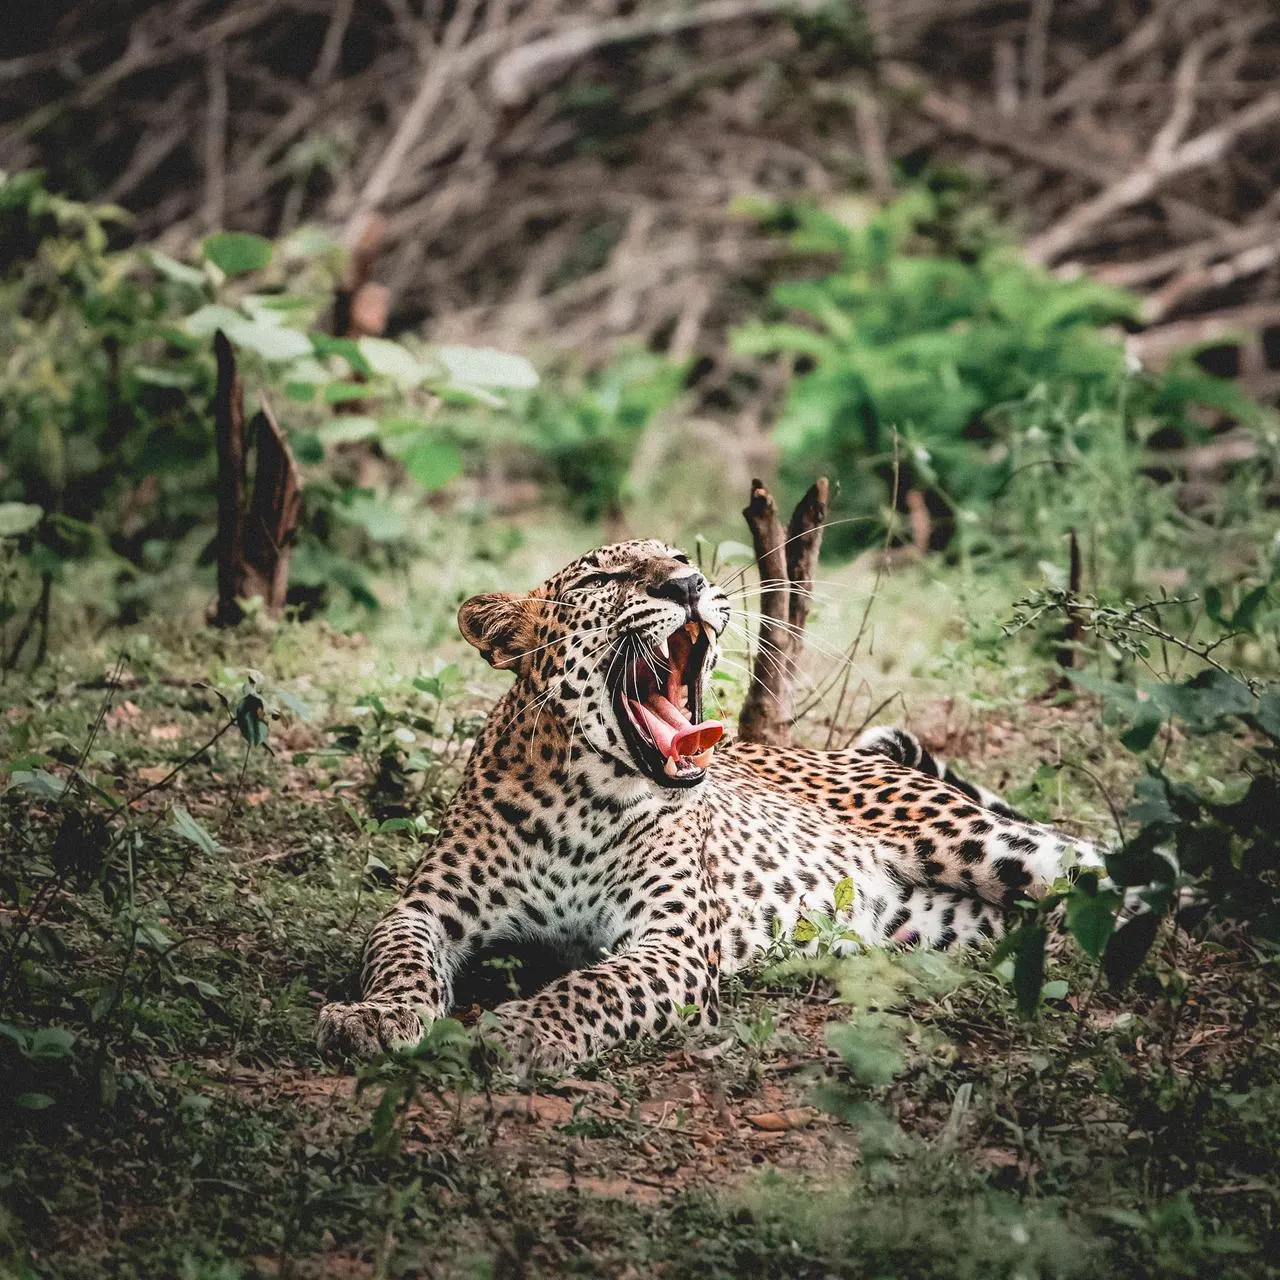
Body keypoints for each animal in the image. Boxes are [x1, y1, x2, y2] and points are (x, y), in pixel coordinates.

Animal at [317, 539, 1103, 1071]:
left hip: (988, 845)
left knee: (1097, 864)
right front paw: (374, 1017)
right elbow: (399, 957)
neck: (581, 800)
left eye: (678, 557)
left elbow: (595, 987)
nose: (689, 583)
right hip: (944, 927)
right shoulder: (427, 909)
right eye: (602, 577)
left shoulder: (672, 941)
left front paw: (523, 1029)